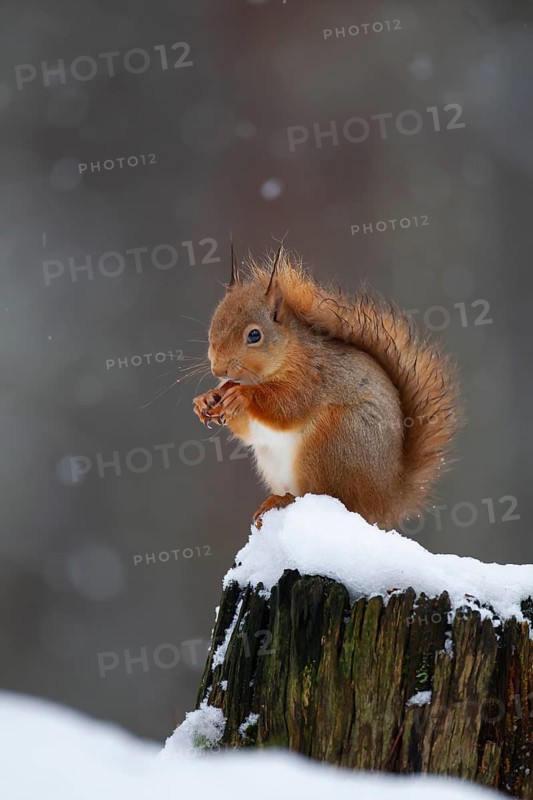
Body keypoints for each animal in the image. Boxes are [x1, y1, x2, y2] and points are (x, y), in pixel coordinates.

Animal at [193, 242, 461, 531]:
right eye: (213, 327)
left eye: (254, 335)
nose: (218, 370)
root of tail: (386, 499)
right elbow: (247, 431)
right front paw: (207, 400)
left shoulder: (311, 378)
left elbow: (287, 408)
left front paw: (242, 396)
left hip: (332, 444)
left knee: (332, 495)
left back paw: (285, 499)